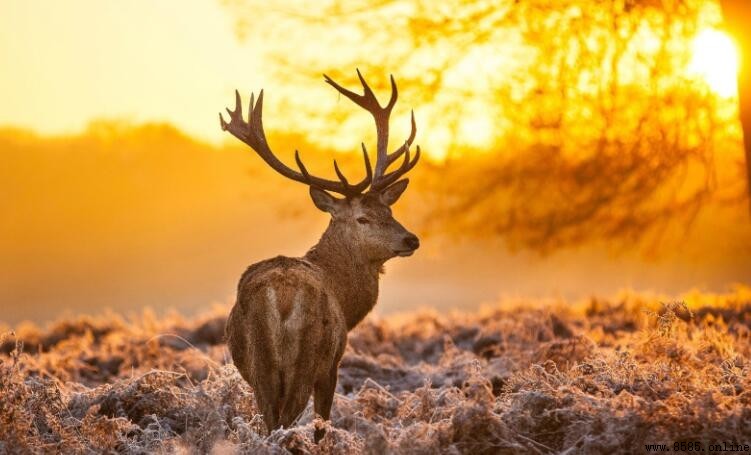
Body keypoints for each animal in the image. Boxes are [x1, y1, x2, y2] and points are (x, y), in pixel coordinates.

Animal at [220, 70, 421, 441]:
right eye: (363, 218)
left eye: (389, 210)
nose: (411, 239)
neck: (346, 300)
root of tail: (281, 297)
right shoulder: (333, 364)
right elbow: (322, 424)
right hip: (308, 357)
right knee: (285, 421)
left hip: (259, 366)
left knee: (270, 421)